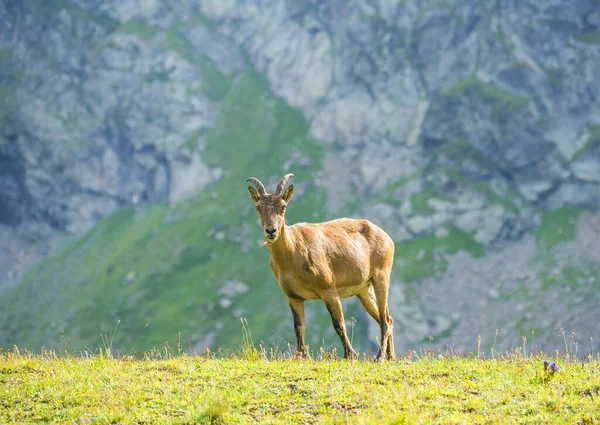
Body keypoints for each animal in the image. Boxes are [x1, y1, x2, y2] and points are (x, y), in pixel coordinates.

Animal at [246, 172, 396, 358]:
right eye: (258, 207)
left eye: (283, 206)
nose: (271, 231)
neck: (292, 254)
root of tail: (386, 237)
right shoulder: (293, 297)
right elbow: (298, 327)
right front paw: (301, 356)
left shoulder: (329, 290)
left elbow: (339, 324)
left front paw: (350, 355)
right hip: (363, 290)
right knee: (387, 319)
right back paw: (390, 357)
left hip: (381, 277)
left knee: (385, 320)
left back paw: (379, 357)